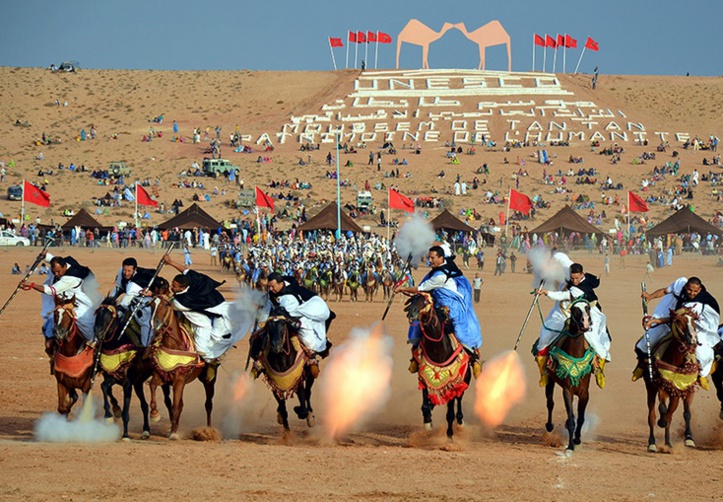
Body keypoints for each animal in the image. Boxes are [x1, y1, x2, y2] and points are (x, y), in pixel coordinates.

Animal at [146, 288, 216, 442]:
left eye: (166, 304)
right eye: (151, 304)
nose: (156, 324)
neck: (174, 345)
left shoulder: (179, 380)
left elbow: (176, 405)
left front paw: (173, 433)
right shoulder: (161, 376)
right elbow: (153, 386)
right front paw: (154, 415)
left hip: (208, 380)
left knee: (208, 404)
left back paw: (208, 431)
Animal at [404, 292, 472, 438]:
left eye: (425, 302)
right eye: (412, 300)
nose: (411, 313)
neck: (438, 350)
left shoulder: (452, 384)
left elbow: (450, 413)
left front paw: (449, 435)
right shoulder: (425, 380)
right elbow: (425, 406)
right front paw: (428, 424)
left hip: (464, 381)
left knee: (459, 400)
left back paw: (460, 423)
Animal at [544, 298, 592, 454]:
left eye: (588, 308)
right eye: (575, 310)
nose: (585, 324)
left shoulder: (584, 392)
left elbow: (581, 418)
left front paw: (577, 440)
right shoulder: (567, 391)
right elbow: (571, 420)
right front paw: (570, 447)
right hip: (550, 381)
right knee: (550, 403)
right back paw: (549, 426)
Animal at [644, 306, 700, 452]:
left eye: (694, 320)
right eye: (679, 320)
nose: (693, 338)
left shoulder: (686, 389)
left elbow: (686, 413)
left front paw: (689, 439)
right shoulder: (662, 386)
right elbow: (662, 409)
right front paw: (661, 421)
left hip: (674, 395)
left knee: (670, 415)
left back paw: (668, 443)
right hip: (650, 389)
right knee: (651, 416)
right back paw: (652, 443)